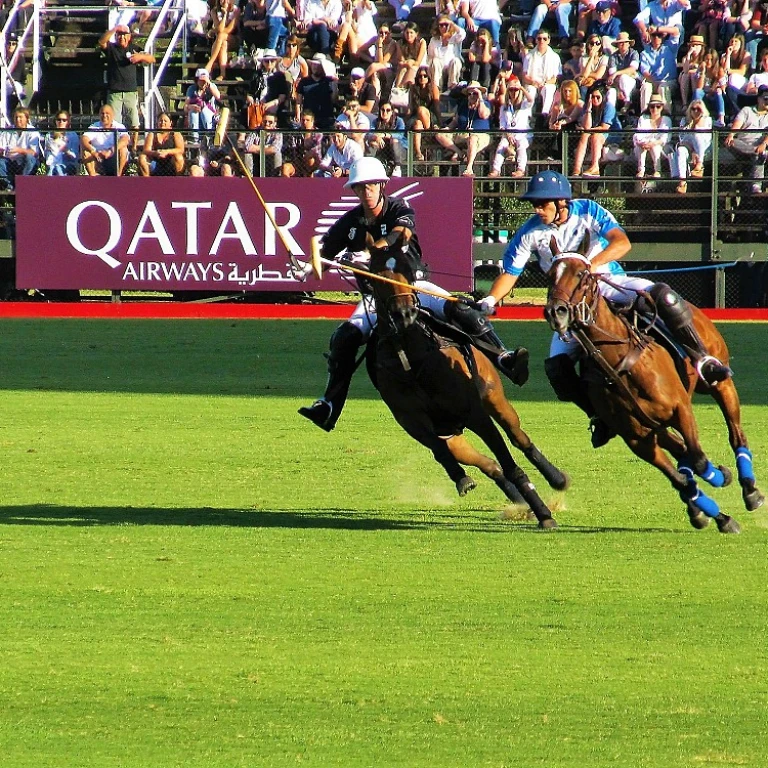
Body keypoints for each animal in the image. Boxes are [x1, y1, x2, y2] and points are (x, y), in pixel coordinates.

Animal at [368, 258, 568, 528]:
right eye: (375, 278)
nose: (403, 314)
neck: (410, 356)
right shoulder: (412, 421)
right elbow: (439, 449)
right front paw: (462, 479)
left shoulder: (475, 413)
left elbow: (511, 464)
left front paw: (545, 515)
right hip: (453, 435)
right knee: (489, 464)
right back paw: (518, 502)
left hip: (494, 398)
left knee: (519, 438)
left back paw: (556, 479)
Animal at [544, 248, 756, 536]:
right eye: (549, 274)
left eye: (582, 274)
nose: (556, 312)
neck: (617, 364)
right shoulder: (638, 439)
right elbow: (681, 478)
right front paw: (717, 514)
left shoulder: (680, 409)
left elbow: (699, 460)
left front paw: (721, 477)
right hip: (656, 427)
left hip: (719, 382)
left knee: (735, 434)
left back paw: (750, 489)